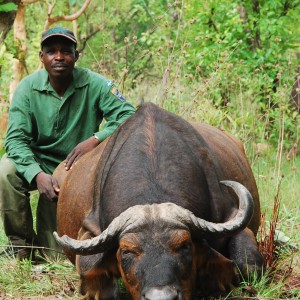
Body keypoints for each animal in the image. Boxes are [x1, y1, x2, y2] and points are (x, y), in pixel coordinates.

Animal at [52, 102, 264, 298]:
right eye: (127, 251)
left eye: (185, 245)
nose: (161, 296)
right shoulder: (89, 231)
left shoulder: (233, 218)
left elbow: (248, 266)